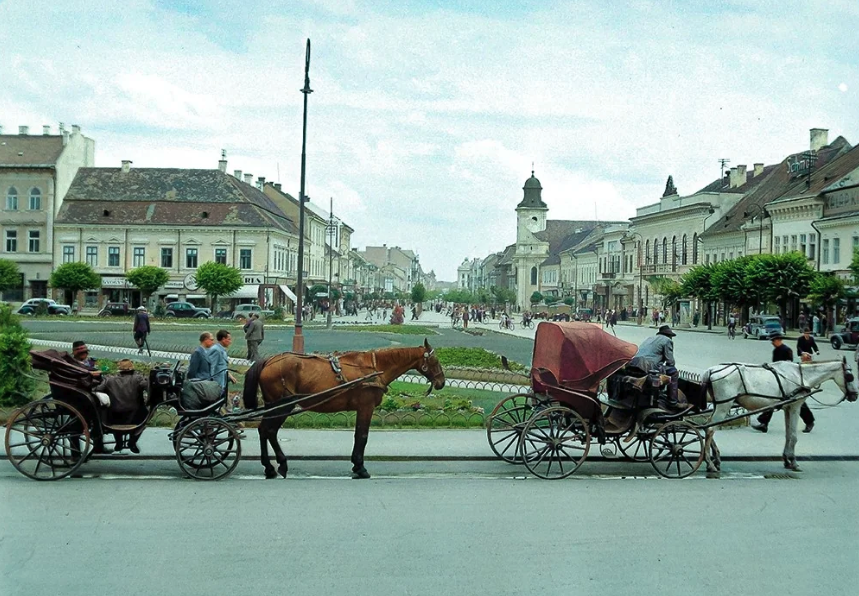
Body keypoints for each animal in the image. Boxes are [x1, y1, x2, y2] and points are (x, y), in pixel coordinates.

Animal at [240, 340, 444, 480]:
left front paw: (356, 465)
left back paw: (270, 467)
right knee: (269, 430)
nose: (441, 382)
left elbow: (358, 435)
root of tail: (268, 361)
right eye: (435, 360)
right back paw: (278, 465)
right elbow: (362, 436)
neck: (375, 368)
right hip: (283, 404)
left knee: (264, 430)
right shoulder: (366, 406)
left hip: (274, 405)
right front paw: (360, 468)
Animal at [704, 356, 856, 472]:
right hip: (724, 405)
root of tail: (711, 370)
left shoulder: (787, 408)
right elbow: (793, 436)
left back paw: (715, 459)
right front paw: (793, 461)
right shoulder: (795, 406)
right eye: (850, 377)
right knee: (710, 428)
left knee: (707, 427)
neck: (800, 375)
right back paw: (710, 464)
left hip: (719, 405)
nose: (855, 395)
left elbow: (788, 434)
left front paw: (787, 459)